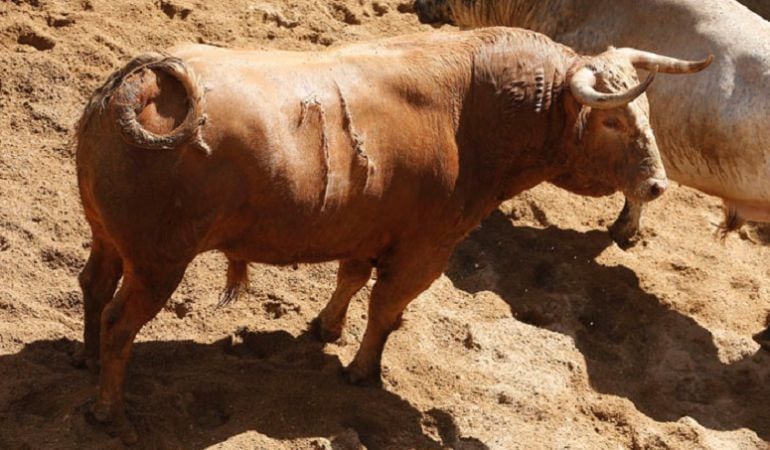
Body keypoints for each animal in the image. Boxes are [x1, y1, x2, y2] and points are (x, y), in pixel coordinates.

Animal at [73, 29, 708, 442]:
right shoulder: (428, 249)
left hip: (108, 239)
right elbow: (385, 307)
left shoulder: (365, 228)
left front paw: (325, 329)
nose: (656, 185)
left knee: (94, 288)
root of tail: (139, 82)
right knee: (121, 321)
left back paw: (86, 361)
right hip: (159, 262)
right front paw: (362, 371)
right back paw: (108, 411)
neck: (472, 110)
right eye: (614, 120)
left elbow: (353, 279)